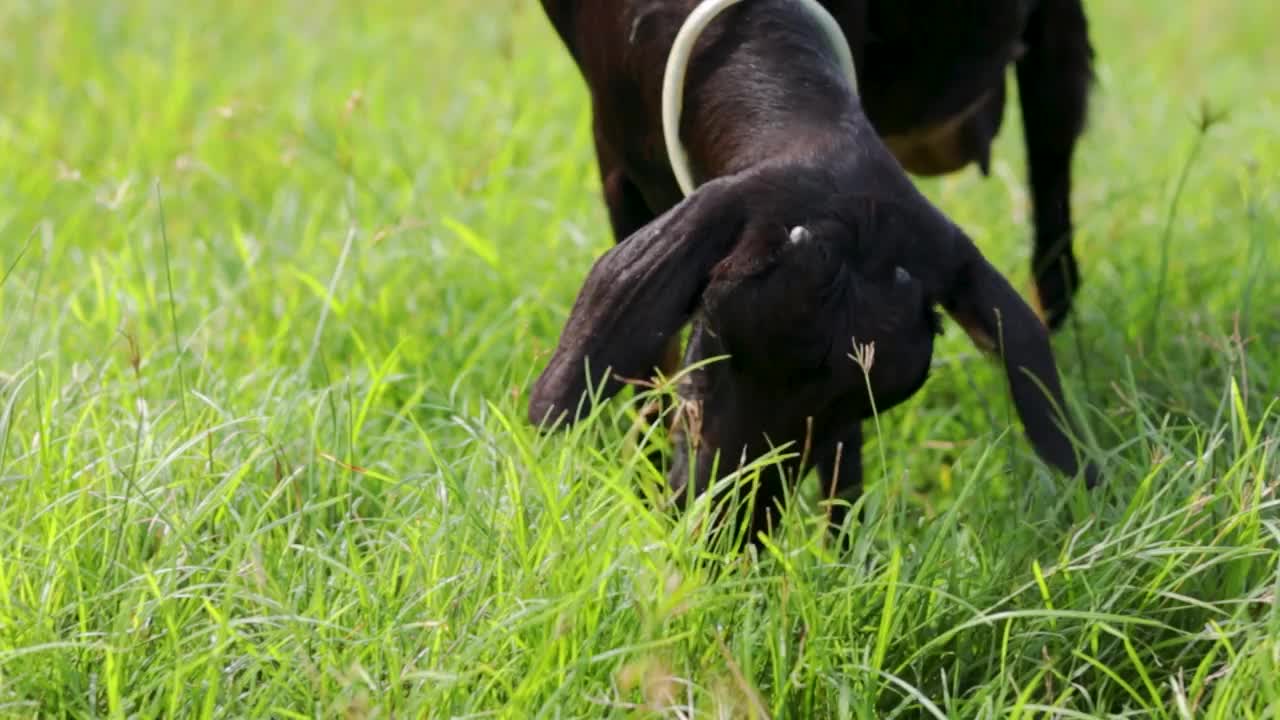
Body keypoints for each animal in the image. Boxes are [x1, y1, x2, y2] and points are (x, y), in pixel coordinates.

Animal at [529, 0, 1100, 538]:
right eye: (713, 334)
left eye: (851, 408)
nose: (723, 539)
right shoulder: (615, 154)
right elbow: (647, 373)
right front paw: (642, 499)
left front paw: (842, 551)